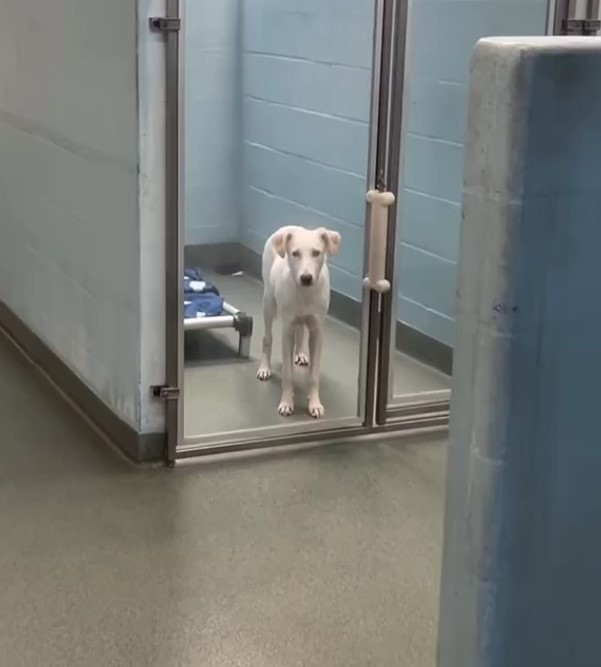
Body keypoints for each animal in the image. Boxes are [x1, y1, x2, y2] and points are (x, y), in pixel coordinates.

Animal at [256, 227, 342, 420]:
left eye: (316, 252)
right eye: (295, 253)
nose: (306, 277)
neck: (305, 293)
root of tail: (286, 227)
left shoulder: (317, 332)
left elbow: (314, 375)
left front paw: (314, 403)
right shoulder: (286, 332)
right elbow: (288, 374)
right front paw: (287, 402)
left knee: (301, 332)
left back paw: (301, 354)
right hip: (268, 303)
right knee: (267, 338)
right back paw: (265, 368)